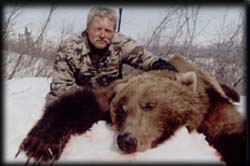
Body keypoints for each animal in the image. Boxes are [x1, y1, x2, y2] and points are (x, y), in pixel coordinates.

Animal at [16, 55, 246, 165]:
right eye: (122, 110)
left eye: (149, 105)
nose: (126, 140)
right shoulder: (109, 95)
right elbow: (79, 104)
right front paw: (39, 146)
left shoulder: (211, 107)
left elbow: (231, 130)